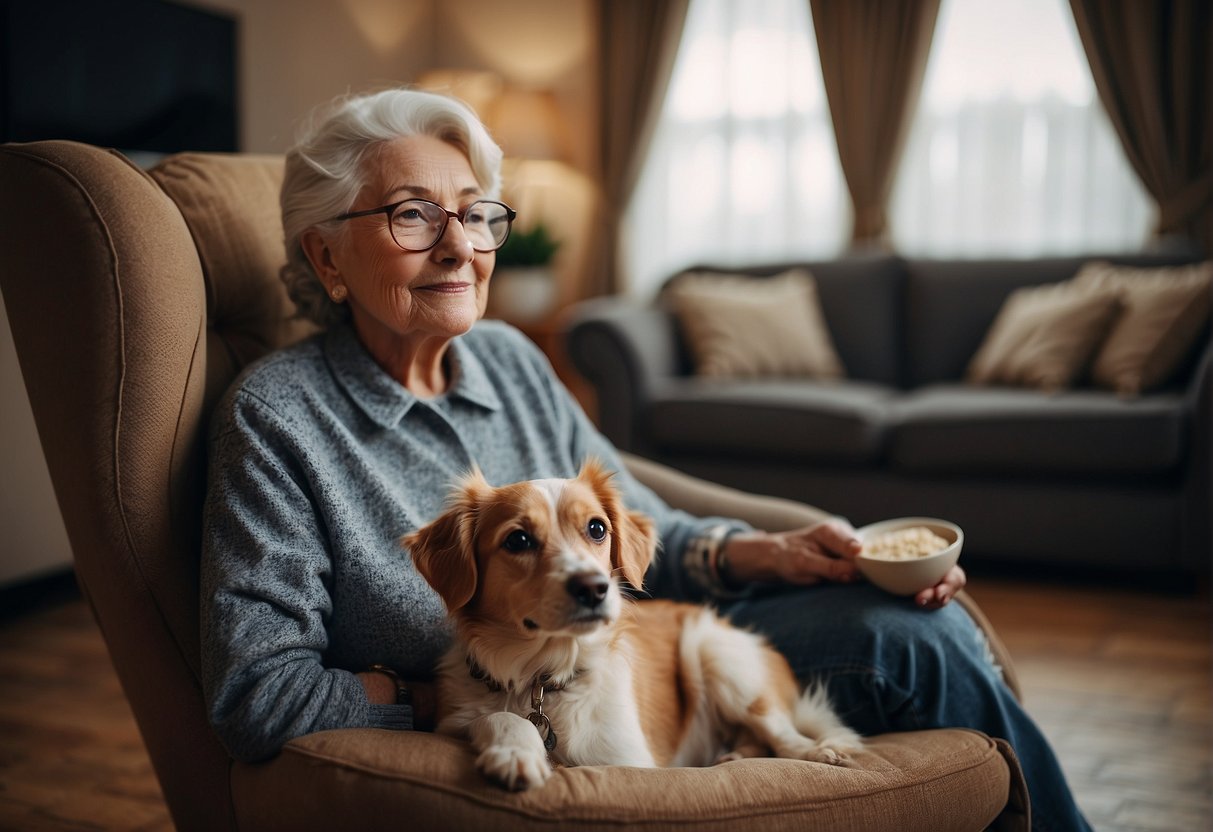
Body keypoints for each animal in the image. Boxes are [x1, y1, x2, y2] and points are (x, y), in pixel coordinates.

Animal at [407, 463, 863, 795]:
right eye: (517, 540)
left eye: (596, 528)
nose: (594, 588)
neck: (545, 677)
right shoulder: (456, 718)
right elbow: (497, 717)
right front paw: (517, 752)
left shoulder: (629, 761)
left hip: (715, 652)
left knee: (779, 731)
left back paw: (817, 751)